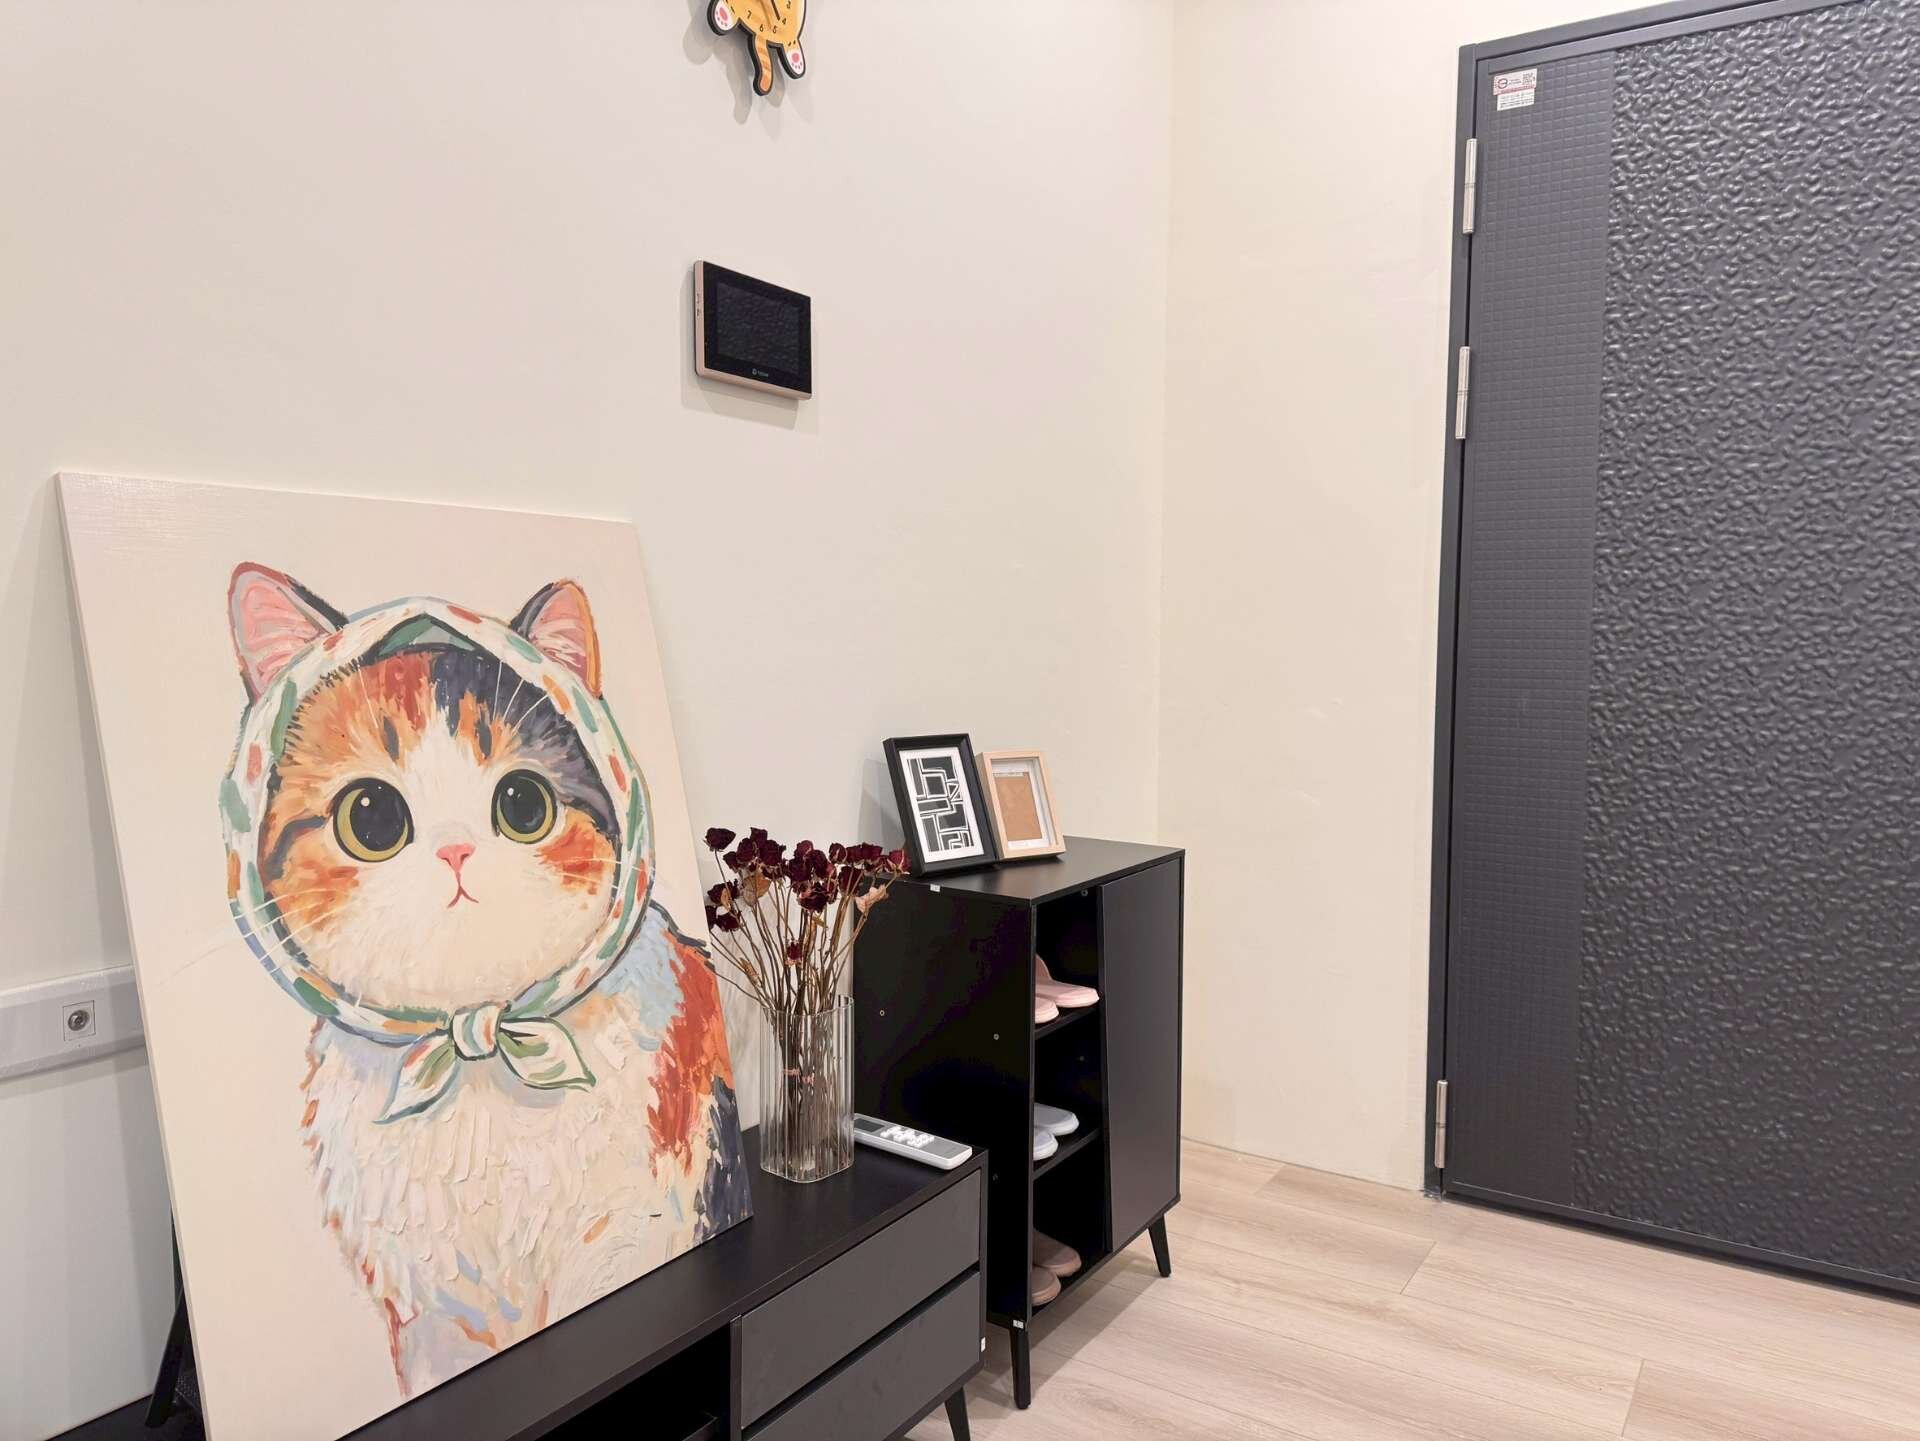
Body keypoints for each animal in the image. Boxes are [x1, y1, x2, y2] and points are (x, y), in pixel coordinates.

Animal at [221, 564, 751, 1396]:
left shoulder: (629, 1239)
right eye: (371, 817)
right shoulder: (431, 1314)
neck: (479, 1052)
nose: (456, 851)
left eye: (523, 803)